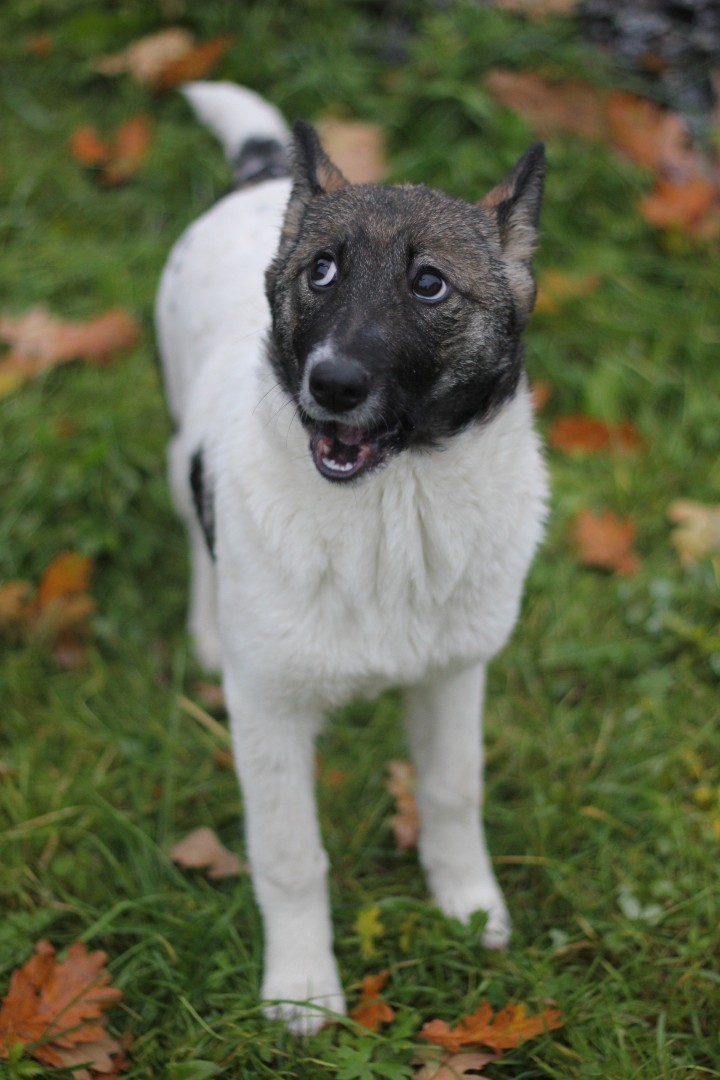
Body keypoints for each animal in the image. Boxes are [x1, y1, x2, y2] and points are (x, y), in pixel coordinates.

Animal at [157, 82, 548, 1028]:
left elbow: (452, 792)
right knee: (193, 524)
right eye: (321, 271)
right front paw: (302, 990)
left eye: (429, 283)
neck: (389, 513)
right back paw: (206, 626)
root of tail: (269, 176)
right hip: (182, 446)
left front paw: (470, 909)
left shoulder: (455, 674)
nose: (331, 385)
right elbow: (291, 855)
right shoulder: (268, 710)